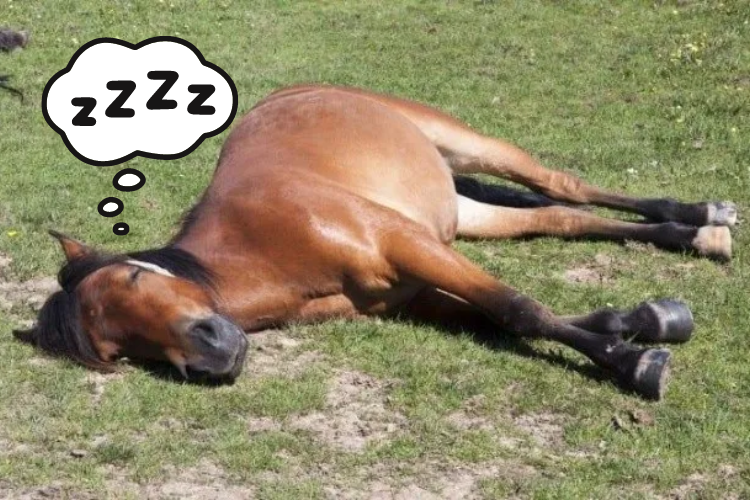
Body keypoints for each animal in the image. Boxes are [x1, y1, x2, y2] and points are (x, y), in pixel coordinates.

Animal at [16, 85, 737, 400]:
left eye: (136, 277)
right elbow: (502, 317)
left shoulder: (406, 244)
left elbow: (518, 309)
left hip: (465, 146)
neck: (267, 245)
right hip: (461, 213)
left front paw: (635, 364)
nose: (211, 355)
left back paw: (707, 215)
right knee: (558, 215)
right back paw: (696, 232)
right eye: (117, 350)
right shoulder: (410, 293)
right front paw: (644, 321)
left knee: (562, 185)